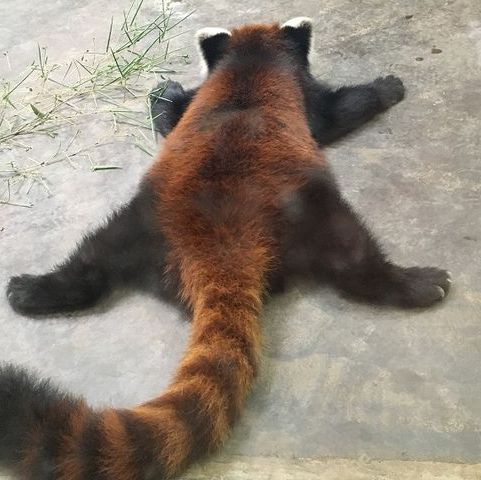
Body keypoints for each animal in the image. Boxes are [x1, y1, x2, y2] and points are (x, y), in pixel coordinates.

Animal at [2, 17, 450, 480]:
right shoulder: (306, 96)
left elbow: (170, 112)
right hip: (309, 208)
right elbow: (337, 111)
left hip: (142, 221)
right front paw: (387, 88)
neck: (250, 60)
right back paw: (412, 283)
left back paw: (35, 290)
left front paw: (161, 90)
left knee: (93, 259)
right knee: (350, 253)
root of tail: (219, 241)